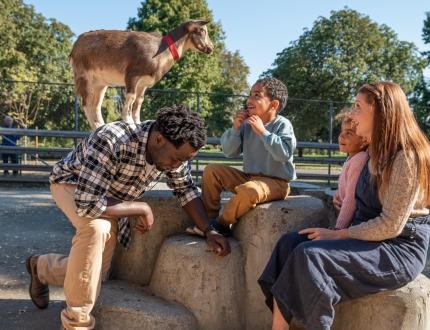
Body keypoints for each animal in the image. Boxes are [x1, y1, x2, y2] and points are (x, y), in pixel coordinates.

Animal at [69, 19, 215, 130]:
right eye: (202, 30)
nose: (211, 48)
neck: (161, 50)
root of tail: (74, 49)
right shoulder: (132, 75)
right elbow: (131, 97)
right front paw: (128, 121)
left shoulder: (143, 83)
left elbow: (139, 101)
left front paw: (138, 122)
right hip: (84, 77)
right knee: (86, 104)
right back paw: (97, 126)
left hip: (100, 84)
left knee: (96, 105)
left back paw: (101, 126)